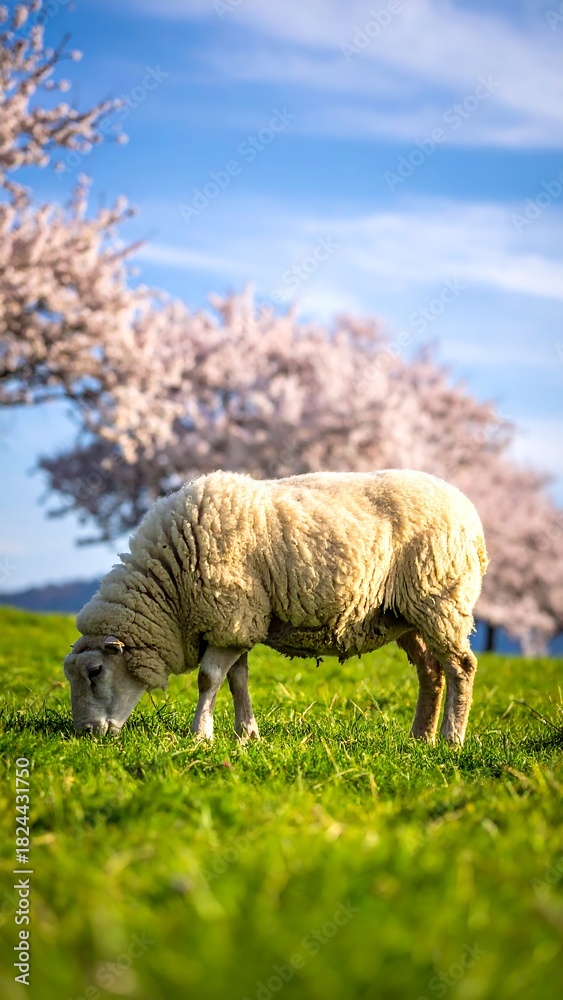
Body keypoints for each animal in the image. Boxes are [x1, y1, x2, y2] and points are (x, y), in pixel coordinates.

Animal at [63, 469, 488, 745]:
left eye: (95, 671)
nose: (85, 734)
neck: (169, 587)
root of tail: (469, 511)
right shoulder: (237, 623)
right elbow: (237, 680)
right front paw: (246, 734)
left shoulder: (232, 616)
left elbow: (208, 679)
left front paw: (201, 735)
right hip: (406, 615)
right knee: (431, 673)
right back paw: (419, 738)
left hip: (440, 599)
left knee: (461, 667)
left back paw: (451, 739)